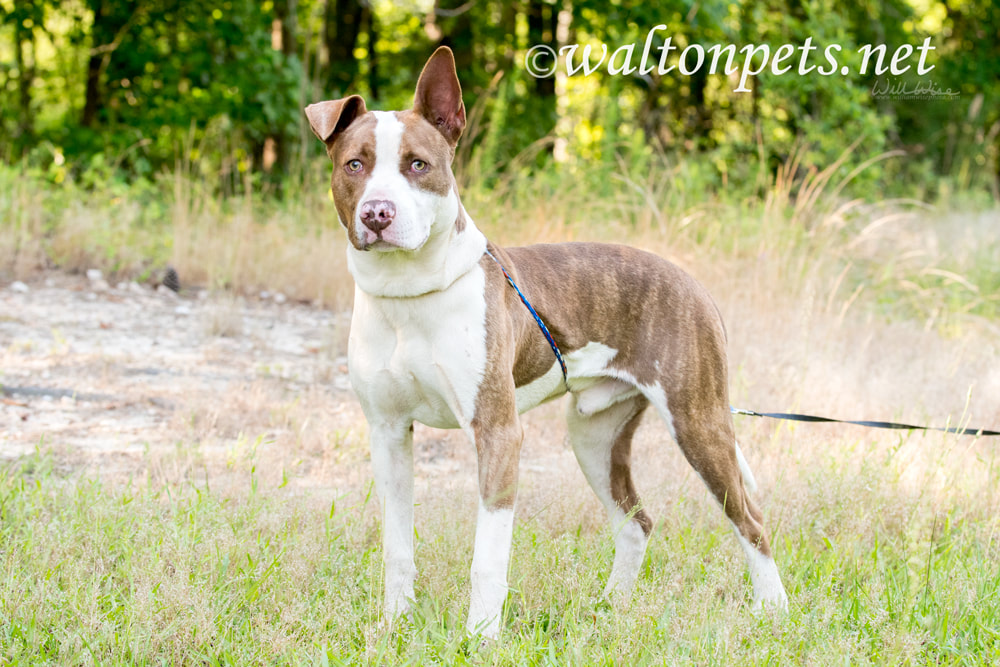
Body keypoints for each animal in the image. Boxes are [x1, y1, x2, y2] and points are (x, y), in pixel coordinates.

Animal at [304, 45, 788, 636]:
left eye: (418, 165)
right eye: (355, 164)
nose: (378, 214)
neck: (409, 293)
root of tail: (691, 280)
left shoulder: (497, 432)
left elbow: (487, 556)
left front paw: (481, 637)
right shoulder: (389, 433)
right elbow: (397, 546)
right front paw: (396, 625)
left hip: (698, 421)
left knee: (750, 519)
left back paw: (774, 610)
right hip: (594, 436)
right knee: (636, 521)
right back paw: (611, 608)